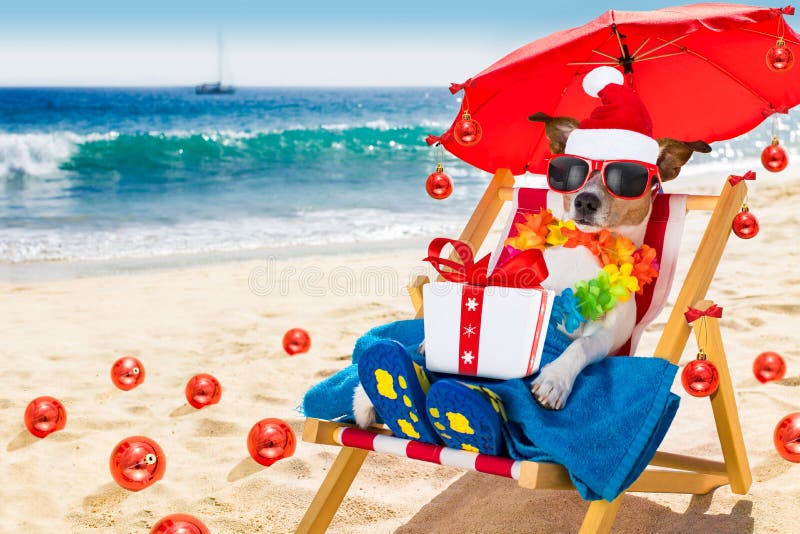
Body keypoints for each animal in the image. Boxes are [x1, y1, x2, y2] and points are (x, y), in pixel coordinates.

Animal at [354, 112, 708, 428]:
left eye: (627, 178)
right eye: (572, 171)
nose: (585, 201)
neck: (586, 247)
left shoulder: (608, 337)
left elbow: (581, 345)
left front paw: (555, 379)